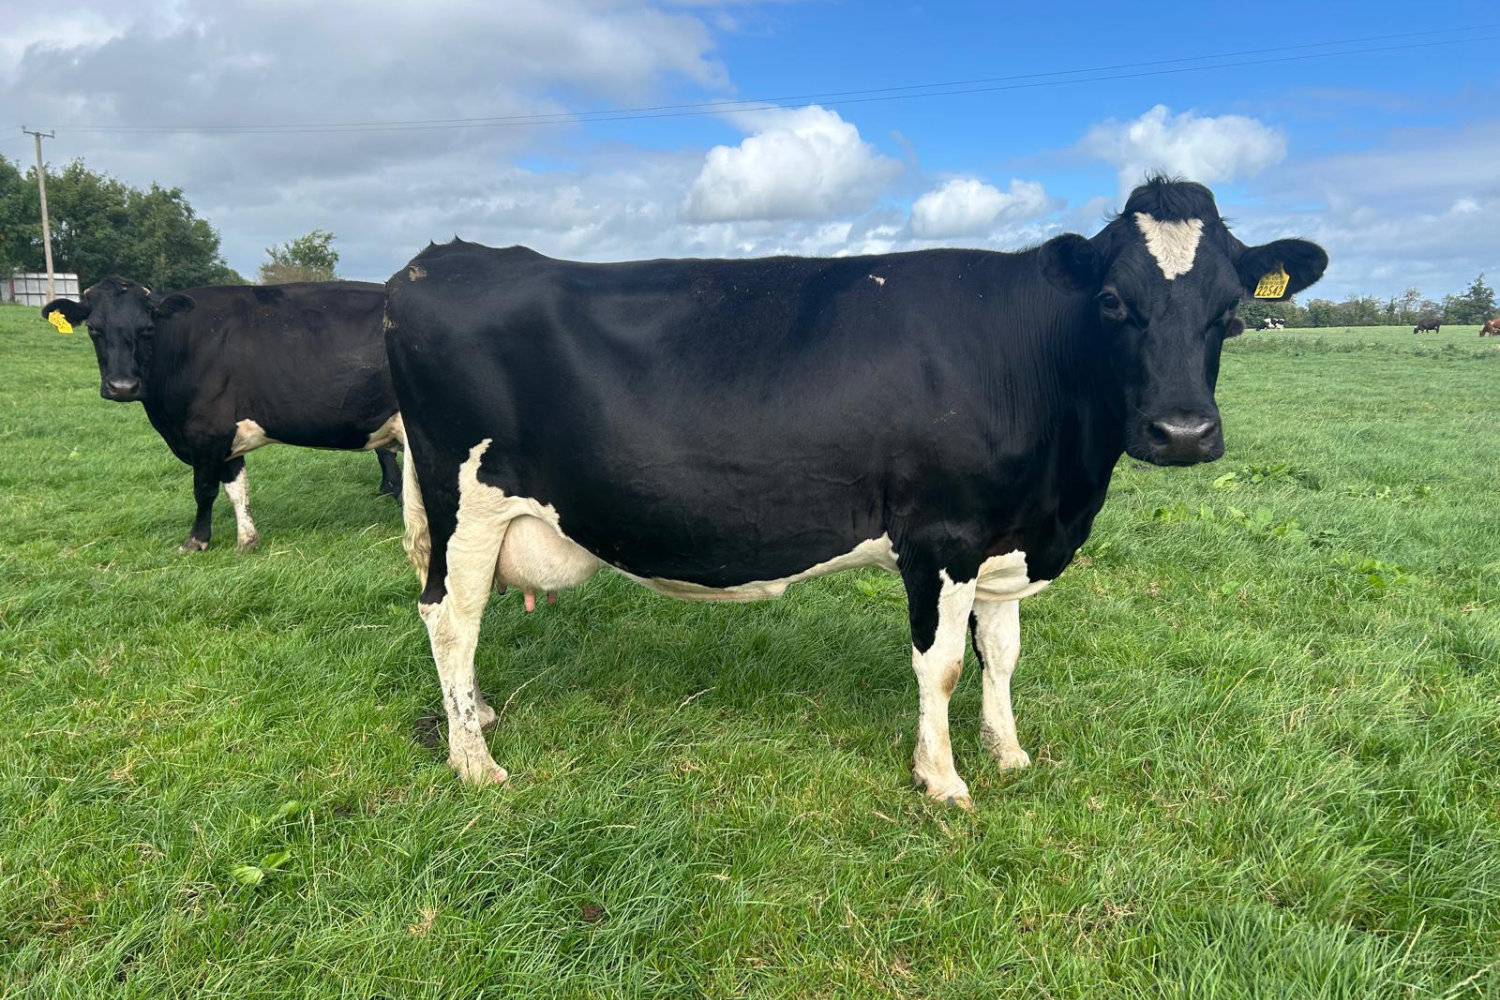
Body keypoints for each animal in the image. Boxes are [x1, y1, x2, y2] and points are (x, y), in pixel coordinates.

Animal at [42, 278, 402, 553]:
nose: (122, 387)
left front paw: (196, 541)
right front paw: (247, 540)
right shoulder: (228, 437)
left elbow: (204, 489)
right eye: (93, 329)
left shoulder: (207, 432)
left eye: (147, 329)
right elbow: (237, 489)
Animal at [384, 177, 1328, 805]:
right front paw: (942, 780)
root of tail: (432, 264)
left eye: (1231, 309)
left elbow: (1004, 655)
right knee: (451, 618)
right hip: (467, 498)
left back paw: (480, 717)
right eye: (1110, 302)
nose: (1183, 433)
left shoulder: (1005, 536)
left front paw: (1009, 753)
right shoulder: (942, 535)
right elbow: (943, 666)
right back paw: (474, 762)